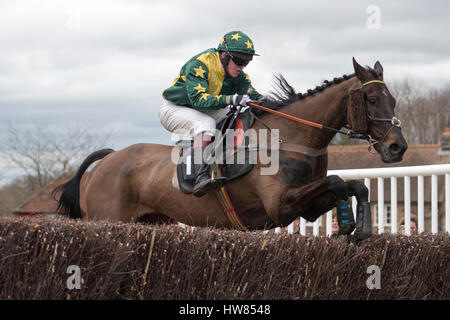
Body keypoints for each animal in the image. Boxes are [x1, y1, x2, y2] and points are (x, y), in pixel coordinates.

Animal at [53, 58, 408, 240]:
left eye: (393, 98)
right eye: (371, 99)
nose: (397, 146)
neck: (290, 135)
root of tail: (110, 158)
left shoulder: (305, 206)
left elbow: (355, 185)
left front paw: (356, 227)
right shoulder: (280, 205)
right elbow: (336, 182)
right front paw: (349, 225)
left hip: (153, 222)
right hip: (108, 219)